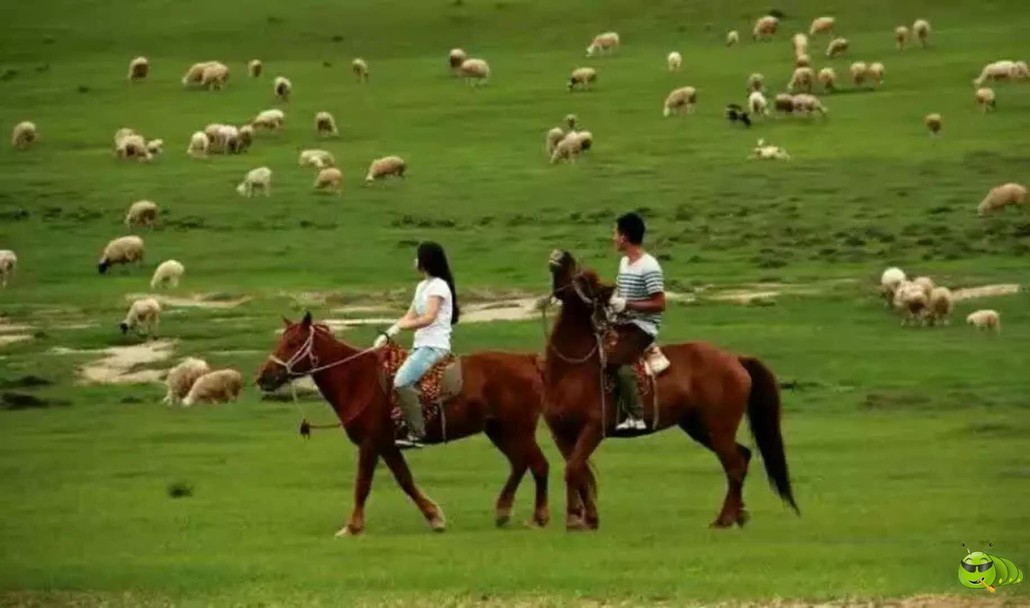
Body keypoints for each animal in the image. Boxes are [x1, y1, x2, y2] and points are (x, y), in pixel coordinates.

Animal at [255, 315, 547, 539]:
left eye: (293, 343)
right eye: (281, 341)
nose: (263, 377)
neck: (358, 380)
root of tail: (528, 360)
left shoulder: (370, 444)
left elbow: (363, 484)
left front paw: (352, 527)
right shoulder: (387, 445)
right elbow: (405, 480)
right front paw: (434, 517)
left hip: (517, 430)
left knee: (538, 465)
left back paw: (538, 518)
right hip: (500, 431)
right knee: (520, 464)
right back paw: (503, 512)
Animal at [543, 250, 799, 531]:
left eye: (585, 279)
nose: (561, 254)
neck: (572, 370)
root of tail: (735, 359)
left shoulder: (592, 430)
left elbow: (574, 470)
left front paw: (579, 520)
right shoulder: (561, 433)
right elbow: (579, 472)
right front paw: (587, 518)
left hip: (718, 426)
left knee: (734, 465)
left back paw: (724, 519)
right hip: (699, 427)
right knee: (742, 456)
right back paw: (739, 515)